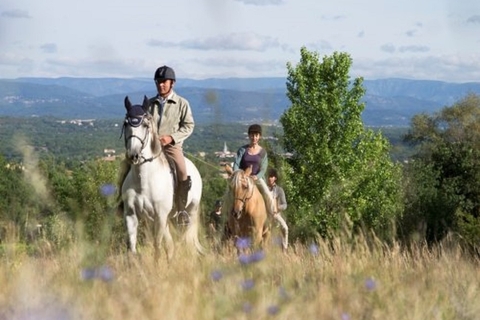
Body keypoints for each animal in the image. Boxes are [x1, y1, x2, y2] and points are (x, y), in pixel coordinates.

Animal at [121, 95, 203, 260]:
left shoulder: (160, 216)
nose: (133, 155)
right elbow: (132, 248)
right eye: (126, 123)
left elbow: (157, 247)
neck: (143, 182)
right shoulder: (131, 215)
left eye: (145, 125)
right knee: (170, 244)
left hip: (190, 211)